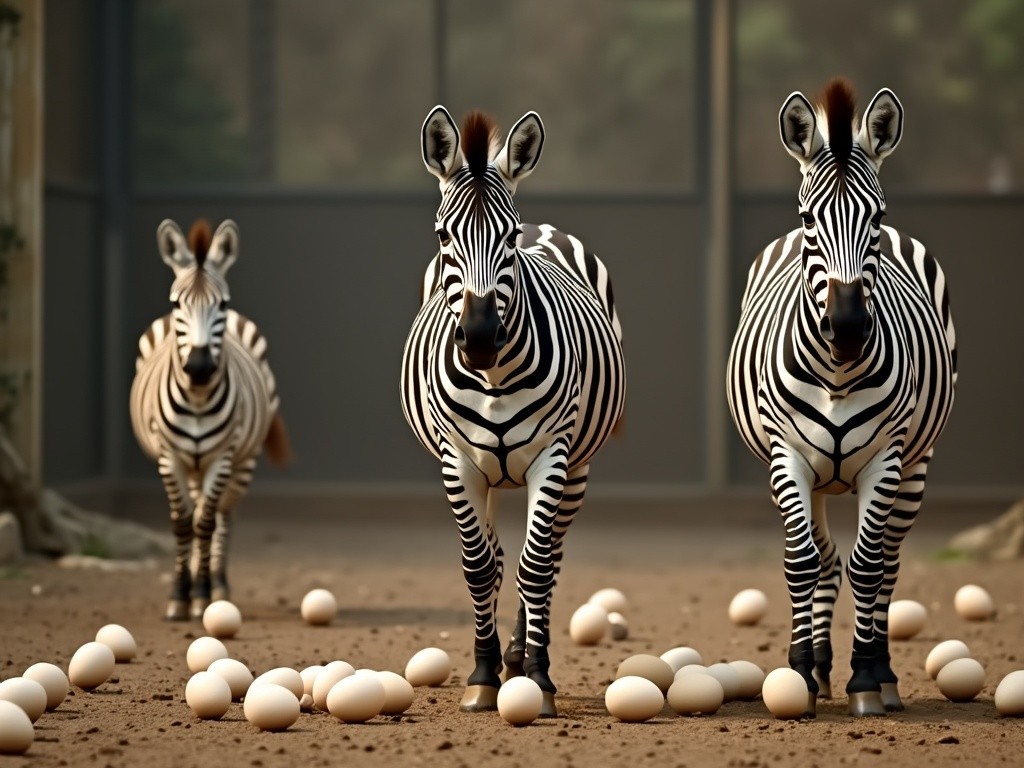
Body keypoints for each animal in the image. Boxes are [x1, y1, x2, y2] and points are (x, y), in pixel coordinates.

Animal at [129, 219, 288, 622]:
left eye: (223, 303)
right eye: (176, 303)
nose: (200, 368)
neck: (198, 400)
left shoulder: (223, 457)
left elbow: (205, 522)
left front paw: (201, 595)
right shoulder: (169, 457)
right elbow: (182, 523)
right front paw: (178, 595)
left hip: (243, 461)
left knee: (223, 516)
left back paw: (218, 585)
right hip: (190, 463)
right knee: (198, 510)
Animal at [399, 107, 622, 716]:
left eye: (510, 237)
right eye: (443, 234)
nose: (479, 340)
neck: (494, 379)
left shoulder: (553, 455)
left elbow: (536, 566)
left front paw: (537, 680)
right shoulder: (457, 459)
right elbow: (480, 567)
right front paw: (482, 676)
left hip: (577, 468)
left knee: (543, 559)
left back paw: (522, 658)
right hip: (489, 471)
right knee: (500, 556)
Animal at [724, 76, 954, 716]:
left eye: (877, 217)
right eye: (808, 217)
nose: (847, 328)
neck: (837, 373)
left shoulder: (888, 459)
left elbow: (870, 566)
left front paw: (866, 680)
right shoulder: (788, 456)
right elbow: (802, 562)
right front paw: (802, 673)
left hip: (917, 465)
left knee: (888, 562)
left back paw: (882, 675)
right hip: (816, 472)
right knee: (822, 560)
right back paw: (817, 664)